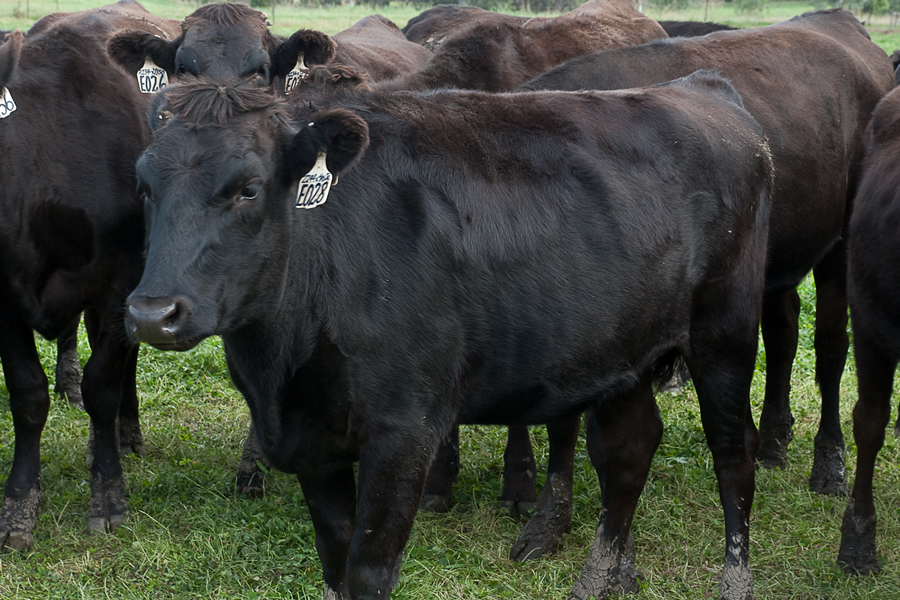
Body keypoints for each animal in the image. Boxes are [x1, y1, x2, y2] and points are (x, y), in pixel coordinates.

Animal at [125, 72, 772, 600]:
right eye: (144, 187)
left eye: (249, 189)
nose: (153, 313)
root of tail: (705, 89)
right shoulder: (314, 440)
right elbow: (335, 564)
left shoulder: (404, 429)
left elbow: (368, 572)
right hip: (625, 349)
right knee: (628, 454)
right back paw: (595, 581)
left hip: (726, 332)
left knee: (733, 454)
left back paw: (735, 582)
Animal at [524, 8, 896, 496]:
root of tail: (835, 19)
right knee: (783, 333)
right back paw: (774, 441)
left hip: (840, 243)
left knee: (831, 348)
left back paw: (828, 464)